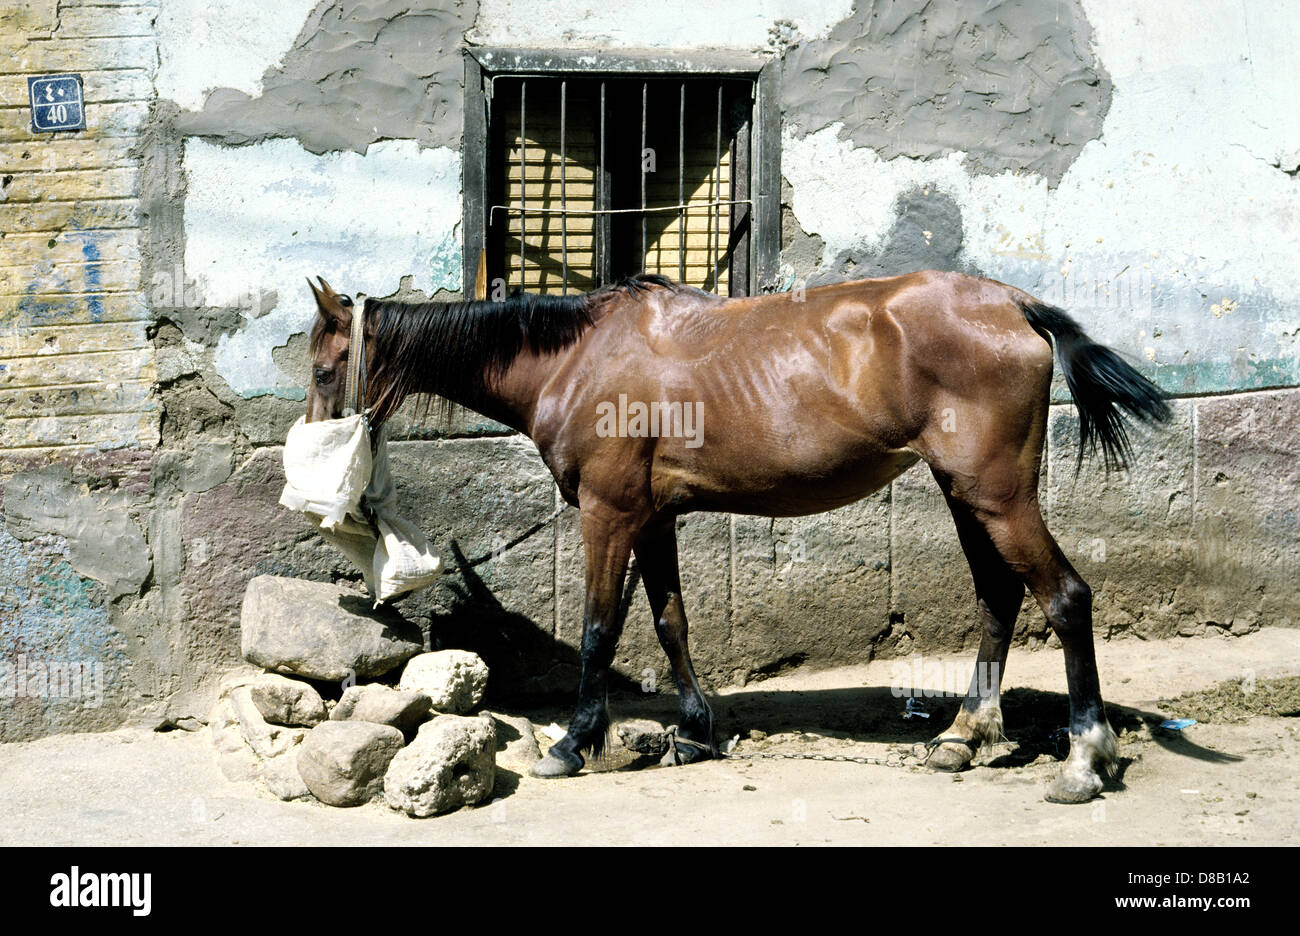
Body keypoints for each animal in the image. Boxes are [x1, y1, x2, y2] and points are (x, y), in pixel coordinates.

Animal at [304, 270, 1170, 806]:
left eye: (321, 369)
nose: (308, 455)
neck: (579, 357)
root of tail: (1015, 305)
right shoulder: (653, 518)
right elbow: (670, 622)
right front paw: (693, 734)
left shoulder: (608, 513)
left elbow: (599, 628)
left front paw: (574, 742)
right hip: (967, 494)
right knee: (999, 596)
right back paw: (964, 734)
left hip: (997, 495)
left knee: (1065, 598)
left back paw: (1085, 759)